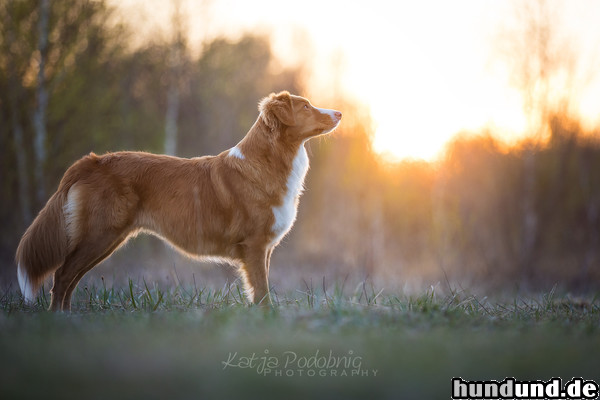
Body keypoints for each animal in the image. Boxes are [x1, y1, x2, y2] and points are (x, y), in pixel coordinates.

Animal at [15, 92, 342, 310]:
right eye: (305, 106)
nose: (339, 113)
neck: (270, 160)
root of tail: (91, 161)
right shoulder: (255, 245)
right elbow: (261, 291)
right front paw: (266, 319)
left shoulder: (264, 249)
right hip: (99, 234)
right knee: (62, 275)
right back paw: (58, 320)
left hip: (105, 239)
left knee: (70, 279)